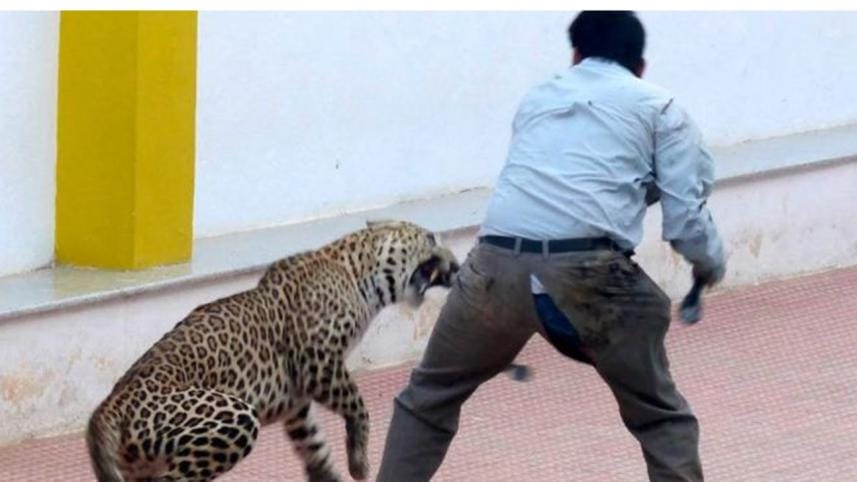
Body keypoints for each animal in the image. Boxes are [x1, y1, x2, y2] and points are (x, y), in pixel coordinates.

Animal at [86, 220, 460, 482]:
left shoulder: (296, 404)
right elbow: (358, 406)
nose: (457, 267)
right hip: (233, 417)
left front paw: (333, 472)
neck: (357, 273)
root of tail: (106, 409)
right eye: (430, 239)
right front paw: (359, 462)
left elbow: (315, 446)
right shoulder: (318, 363)